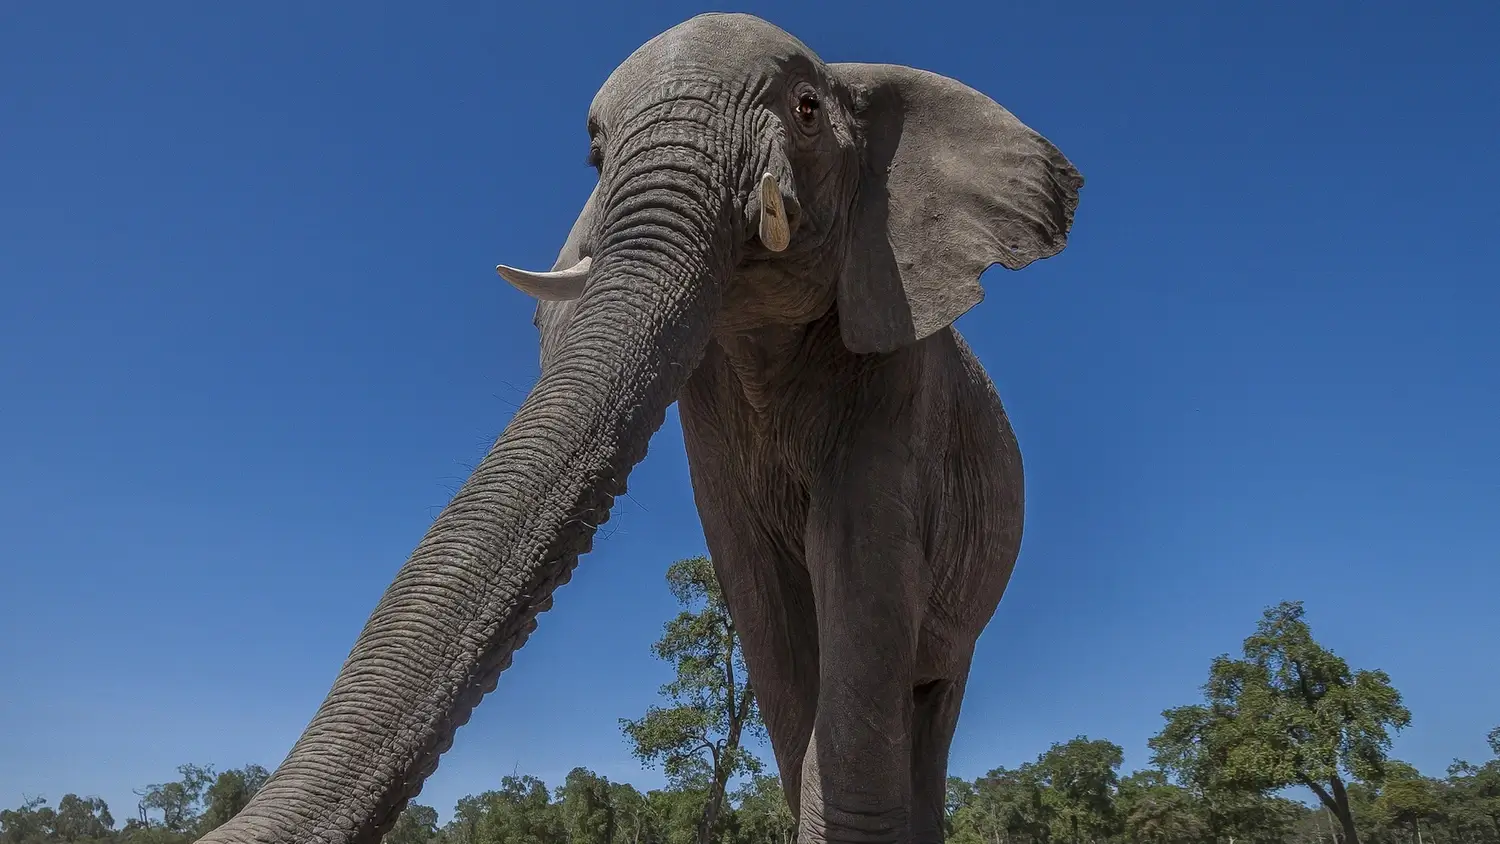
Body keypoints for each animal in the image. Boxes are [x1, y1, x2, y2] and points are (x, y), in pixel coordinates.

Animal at [202, 13, 1080, 844]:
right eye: (595, 159)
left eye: (805, 109)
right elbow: (768, 615)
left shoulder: (898, 381)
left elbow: (858, 590)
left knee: (930, 698)